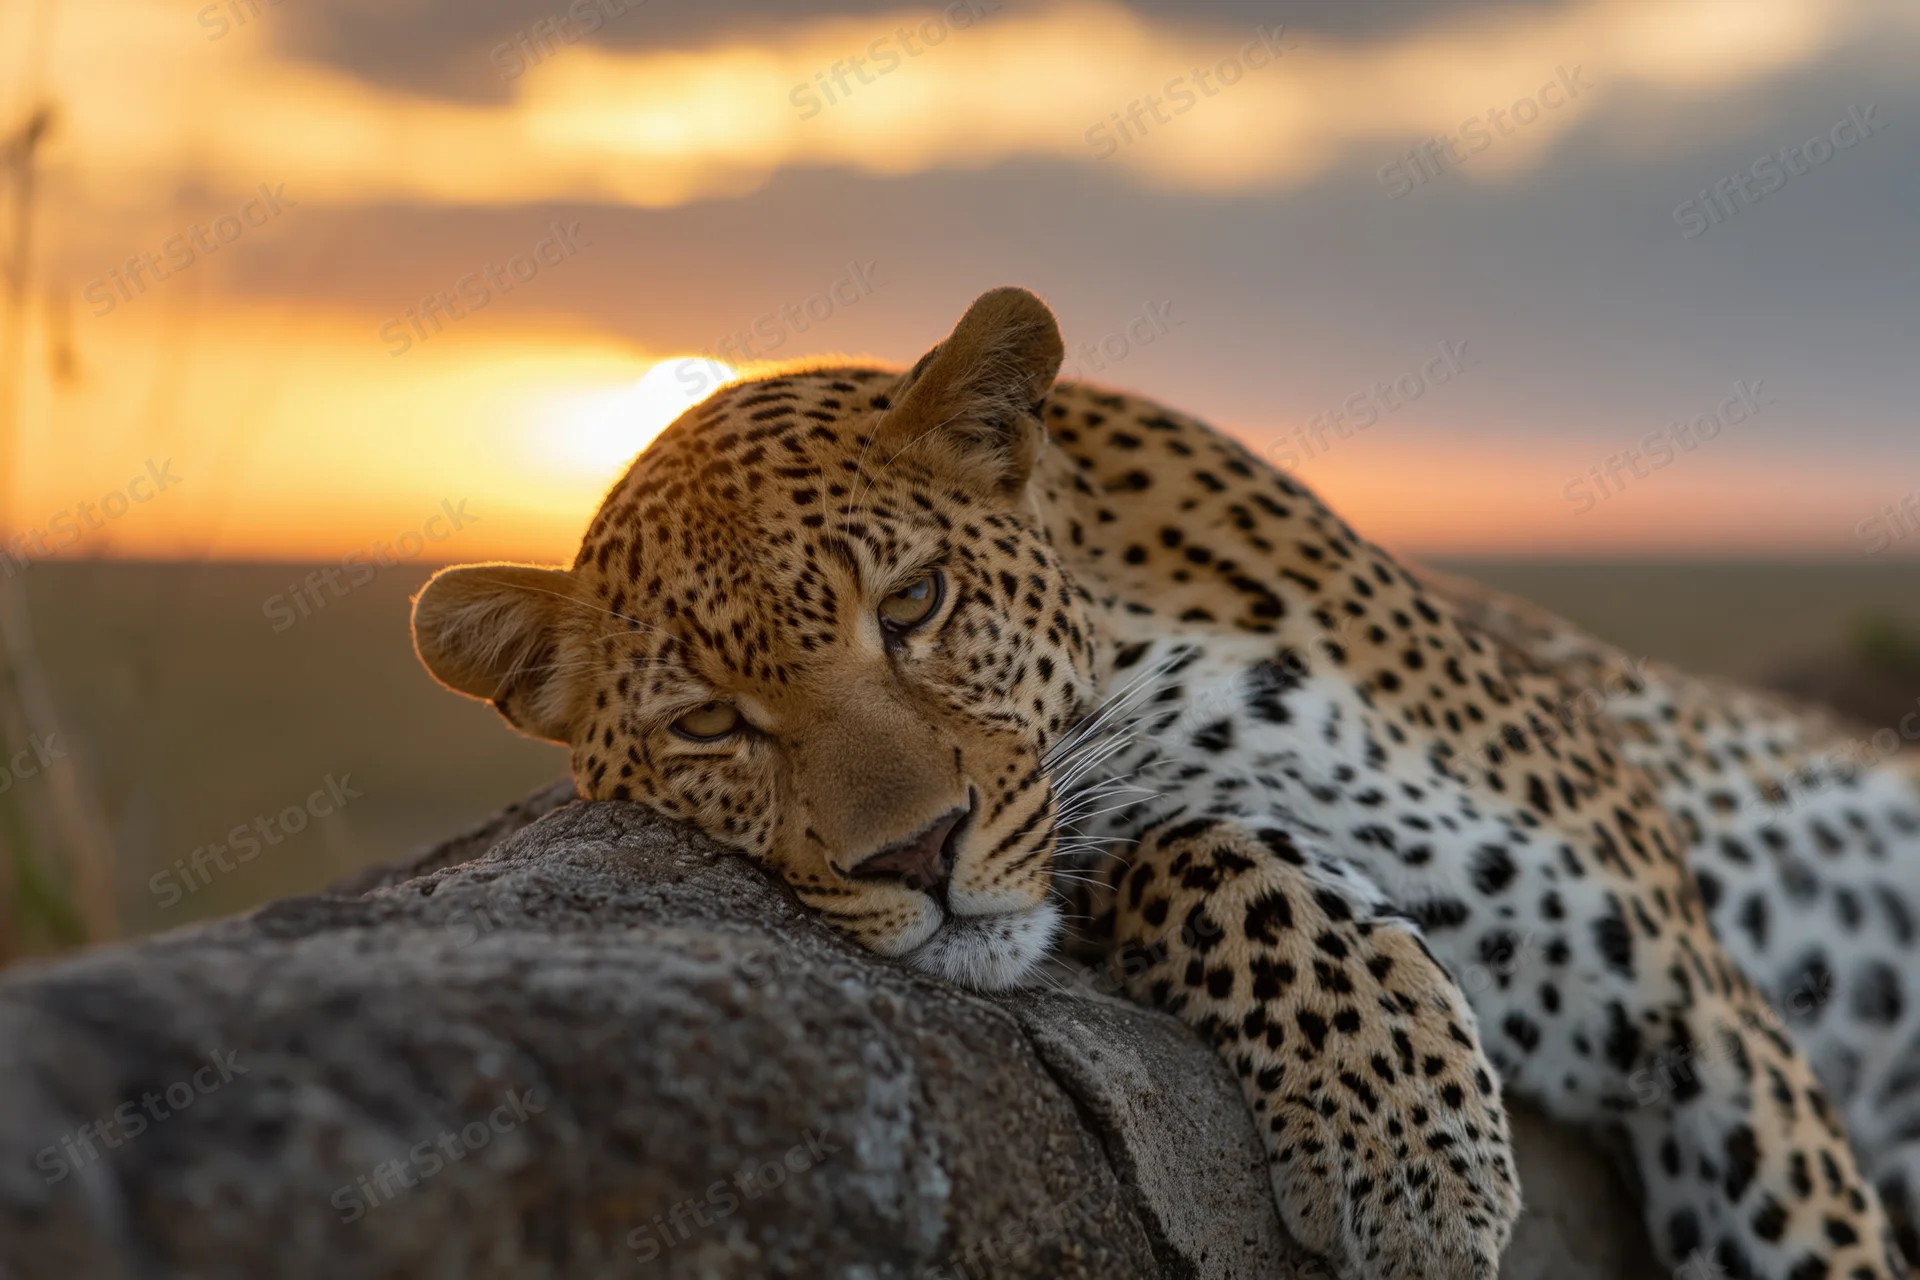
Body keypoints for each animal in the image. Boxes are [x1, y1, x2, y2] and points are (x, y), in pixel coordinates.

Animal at [412, 287, 1920, 1280]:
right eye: (710, 724)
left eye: (913, 602)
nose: (915, 855)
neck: (1151, 680)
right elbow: (1202, 857)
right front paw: (1400, 1132)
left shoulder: (1697, 1001)